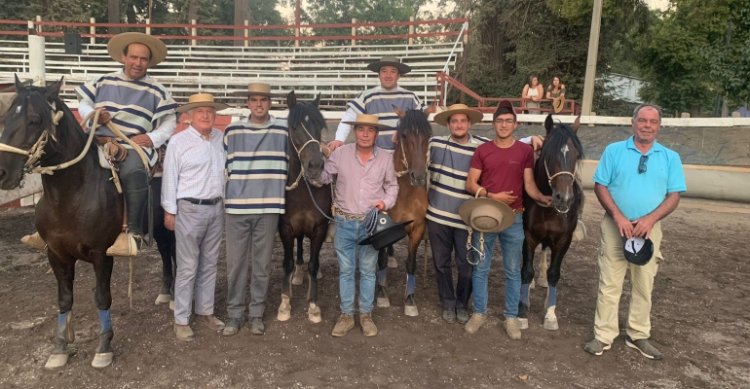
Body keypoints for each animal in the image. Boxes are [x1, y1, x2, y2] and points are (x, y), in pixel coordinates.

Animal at [0, 77, 122, 368]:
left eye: (34, 120)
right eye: (5, 117)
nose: (2, 172)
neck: (70, 196)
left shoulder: (102, 254)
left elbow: (102, 296)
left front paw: (104, 346)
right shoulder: (56, 254)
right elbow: (64, 299)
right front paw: (60, 347)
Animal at [374, 108, 432, 316]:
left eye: (428, 134)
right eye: (405, 135)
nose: (419, 176)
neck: (404, 193)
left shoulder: (418, 228)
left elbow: (411, 263)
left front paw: (409, 299)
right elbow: (381, 260)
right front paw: (382, 294)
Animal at [520, 114, 584, 330]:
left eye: (576, 155)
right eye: (548, 154)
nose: (564, 198)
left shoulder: (564, 240)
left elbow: (554, 273)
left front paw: (550, 314)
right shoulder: (529, 235)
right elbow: (526, 270)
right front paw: (522, 312)